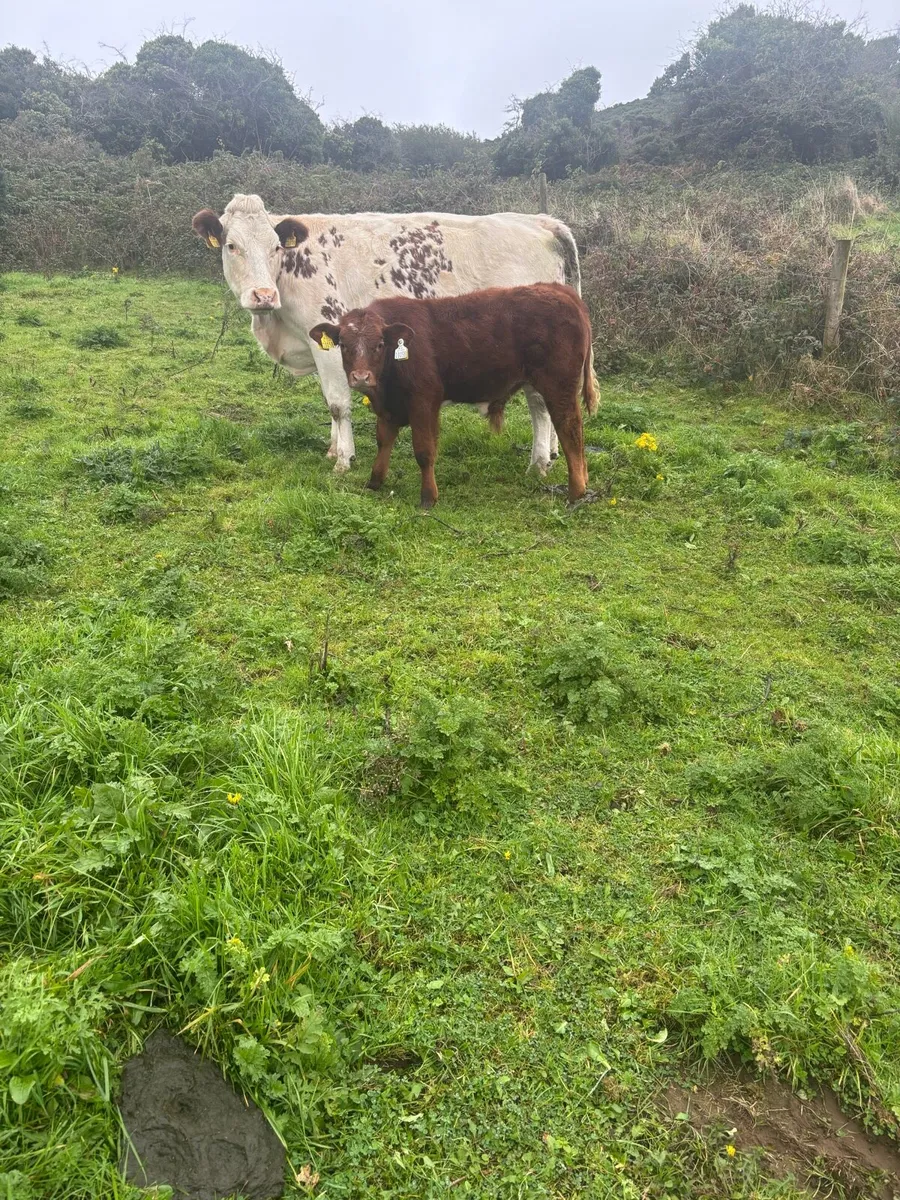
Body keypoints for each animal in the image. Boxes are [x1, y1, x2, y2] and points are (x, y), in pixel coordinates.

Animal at [191, 194, 587, 474]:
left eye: (275, 247)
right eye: (231, 246)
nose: (263, 295)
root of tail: (539, 222)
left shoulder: (328, 340)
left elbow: (337, 403)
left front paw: (344, 460)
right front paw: (333, 449)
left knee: (540, 404)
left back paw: (539, 462)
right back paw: (552, 452)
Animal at [309, 282, 597, 508]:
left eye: (379, 344)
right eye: (343, 345)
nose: (361, 377)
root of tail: (558, 289)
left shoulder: (424, 402)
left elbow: (424, 450)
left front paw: (428, 497)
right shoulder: (389, 408)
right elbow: (384, 441)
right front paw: (374, 482)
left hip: (559, 386)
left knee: (570, 428)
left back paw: (576, 491)